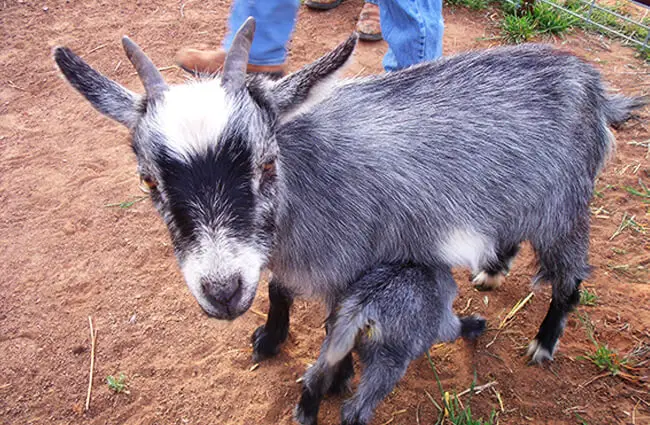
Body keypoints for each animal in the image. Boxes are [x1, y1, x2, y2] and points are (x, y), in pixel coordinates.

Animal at [52, 15, 644, 362]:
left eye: (268, 164)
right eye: (148, 179)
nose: (222, 292)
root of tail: (593, 85)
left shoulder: (351, 266)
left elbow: (337, 326)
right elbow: (278, 289)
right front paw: (270, 338)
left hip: (563, 208)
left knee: (570, 279)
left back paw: (544, 341)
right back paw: (493, 269)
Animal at [294, 262, 486, 424]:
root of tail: (359, 312)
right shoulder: (444, 316)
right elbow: (454, 328)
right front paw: (475, 324)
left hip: (333, 343)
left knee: (314, 378)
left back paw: (306, 414)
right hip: (387, 364)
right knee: (355, 408)